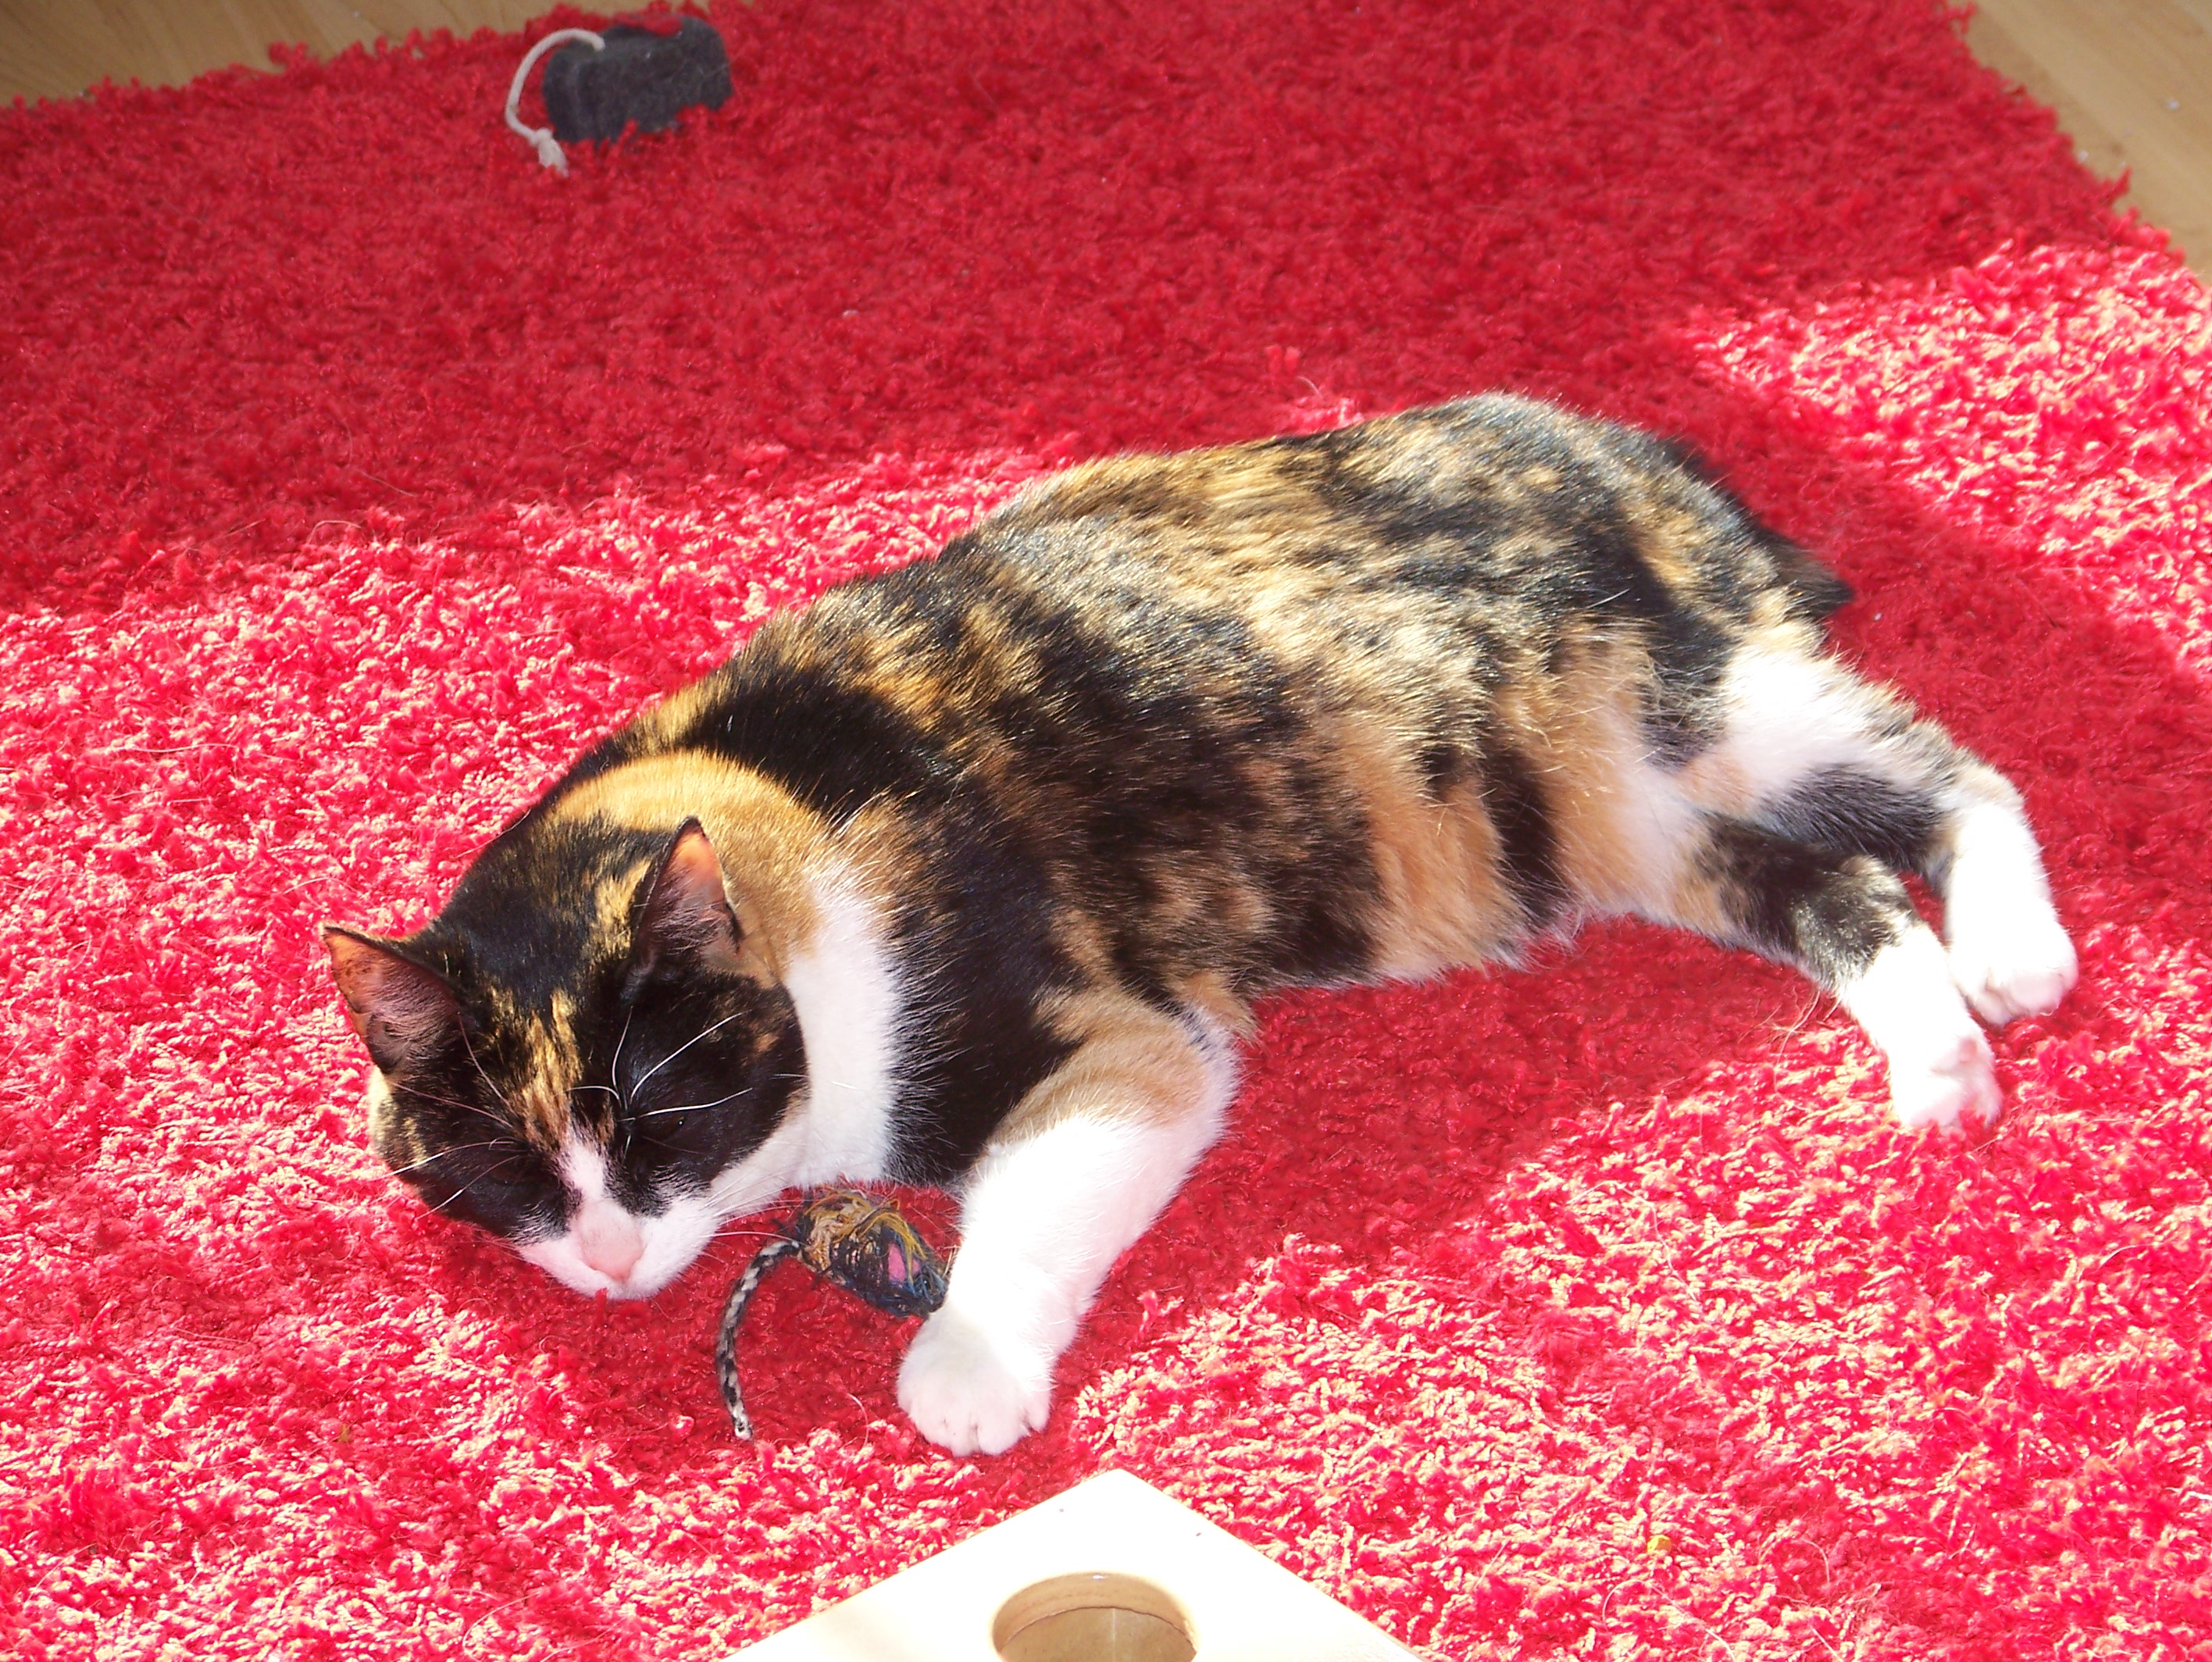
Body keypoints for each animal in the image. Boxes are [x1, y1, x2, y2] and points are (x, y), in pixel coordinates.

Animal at [327, 396, 2070, 1451]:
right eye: (510, 1170)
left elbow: (1038, 1195)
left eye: (656, 1121)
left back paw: (2015, 954)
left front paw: (966, 1369)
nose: (614, 1258)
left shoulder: (1121, 1035)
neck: (770, 804)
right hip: (1631, 820)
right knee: (1844, 889)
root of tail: (1626, 448)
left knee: (1950, 765)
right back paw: (1940, 1069)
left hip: (1691, 704)